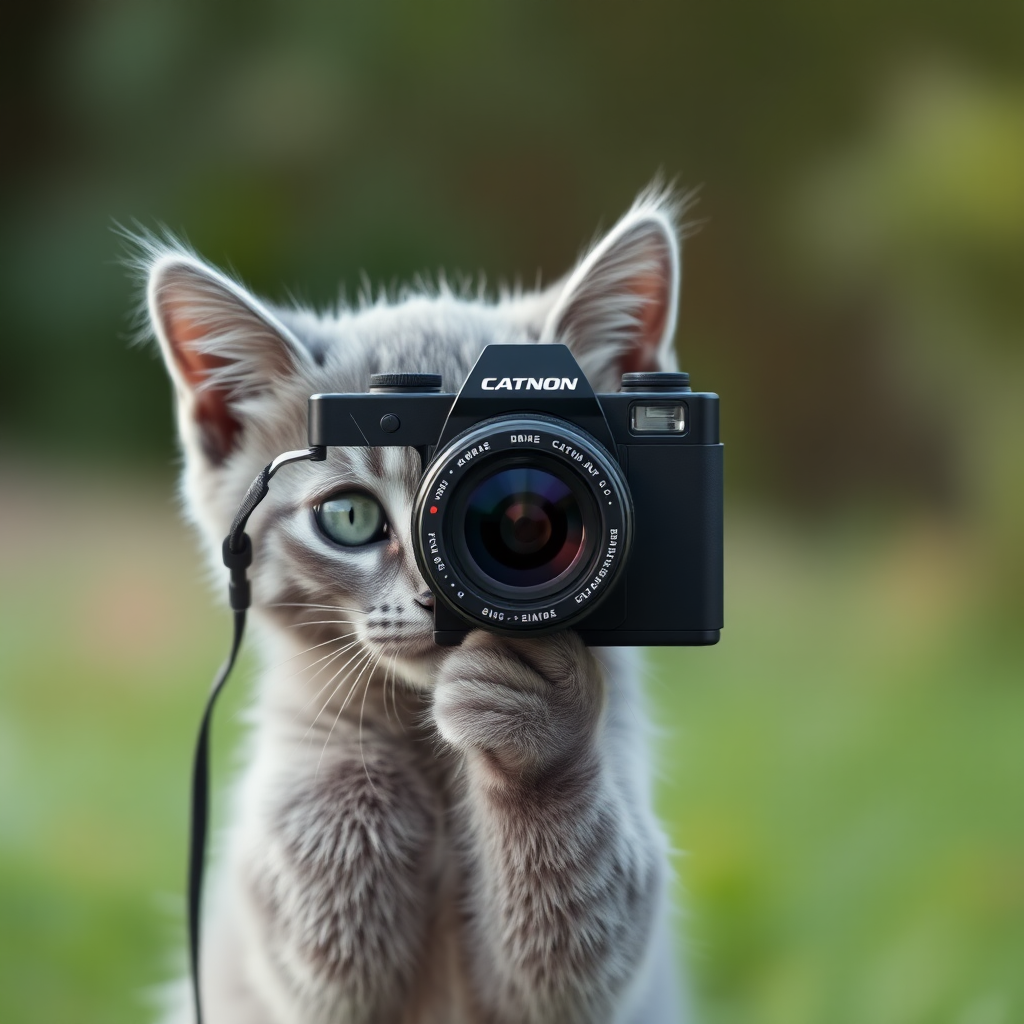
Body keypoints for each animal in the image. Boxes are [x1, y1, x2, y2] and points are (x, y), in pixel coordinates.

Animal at [142, 188, 688, 1019]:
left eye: (536, 516)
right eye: (350, 516)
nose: (438, 601)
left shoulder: (600, 935)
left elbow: (577, 926)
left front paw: (536, 716)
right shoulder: (289, 937)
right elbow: (321, 901)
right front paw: (359, 759)